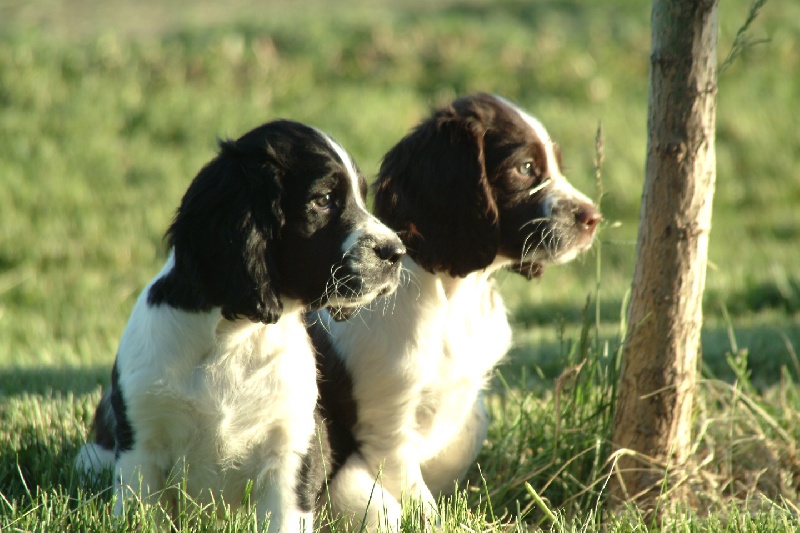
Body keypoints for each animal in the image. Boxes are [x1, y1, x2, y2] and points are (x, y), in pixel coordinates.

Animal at [76, 120, 406, 532]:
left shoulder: (292, 446)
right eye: (324, 199)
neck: (235, 336)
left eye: (362, 196)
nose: (397, 252)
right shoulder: (142, 443)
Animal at [310, 92, 604, 528]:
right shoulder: (386, 424)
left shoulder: (467, 401)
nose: (593, 217)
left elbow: (460, 444)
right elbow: (415, 501)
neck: (451, 297)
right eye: (525, 168)